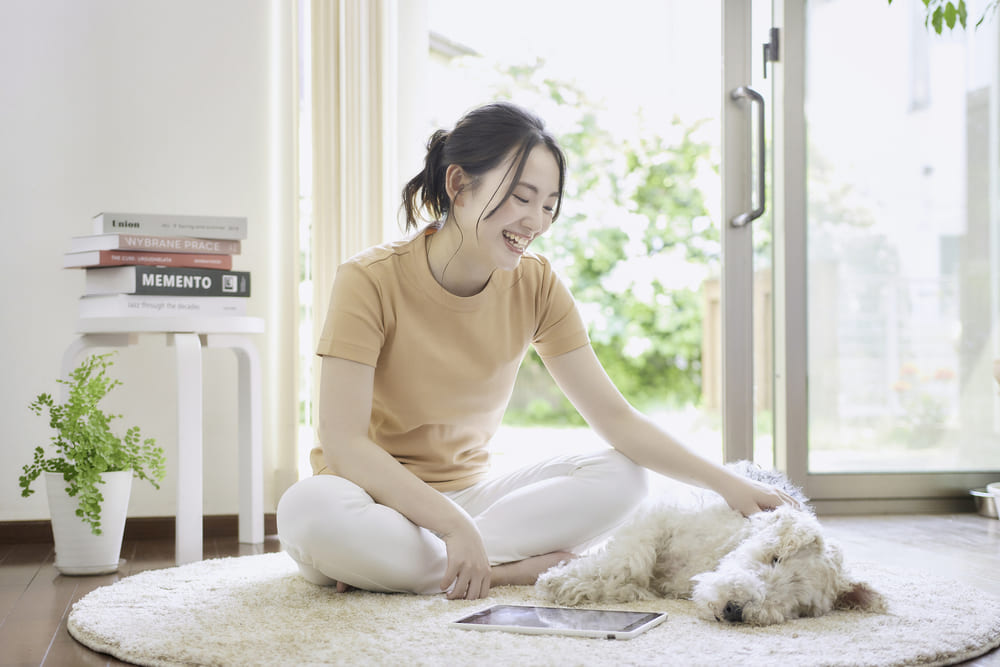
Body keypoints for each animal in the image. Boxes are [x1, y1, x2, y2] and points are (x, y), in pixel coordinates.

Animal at [536, 464, 888, 628]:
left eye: (801, 605)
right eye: (774, 558)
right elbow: (629, 561)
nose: (735, 610)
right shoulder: (658, 520)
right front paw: (560, 581)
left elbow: (633, 582)